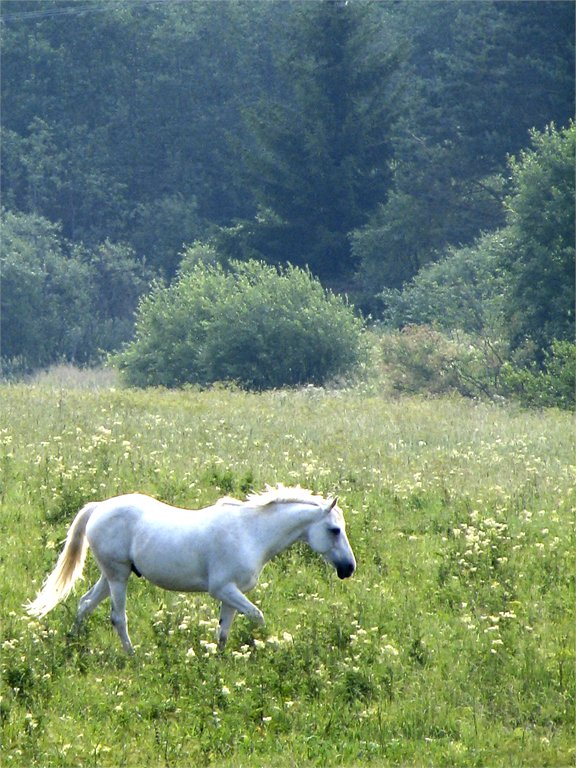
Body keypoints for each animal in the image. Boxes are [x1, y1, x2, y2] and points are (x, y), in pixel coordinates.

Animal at [25, 486, 356, 656]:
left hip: (111, 576)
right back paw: (133, 656)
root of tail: (98, 507)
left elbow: (223, 632)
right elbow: (258, 617)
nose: (349, 569)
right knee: (117, 617)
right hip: (118, 577)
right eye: (334, 529)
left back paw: (73, 644)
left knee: (84, 604)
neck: (251, 534)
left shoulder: (230, 595)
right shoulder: (223, 589)